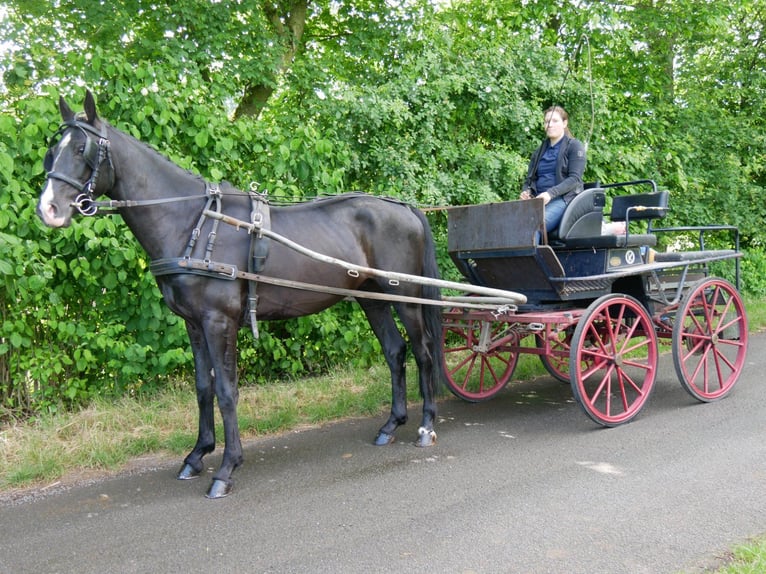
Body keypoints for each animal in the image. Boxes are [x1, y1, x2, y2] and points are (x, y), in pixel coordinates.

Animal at [37, 91, 444, 500]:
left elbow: (226, 389)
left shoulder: (220, 321)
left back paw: (426, 426)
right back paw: (391, 425)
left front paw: (226, 468)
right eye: (53, 149)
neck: (193, 222)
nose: (48, 209)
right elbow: (203, 387)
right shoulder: (194, 324)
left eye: (82, 149)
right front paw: (197, 455)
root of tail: (404, 207)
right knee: (395, 351)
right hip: (372, 298)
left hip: (408, 298)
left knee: (423, 351)